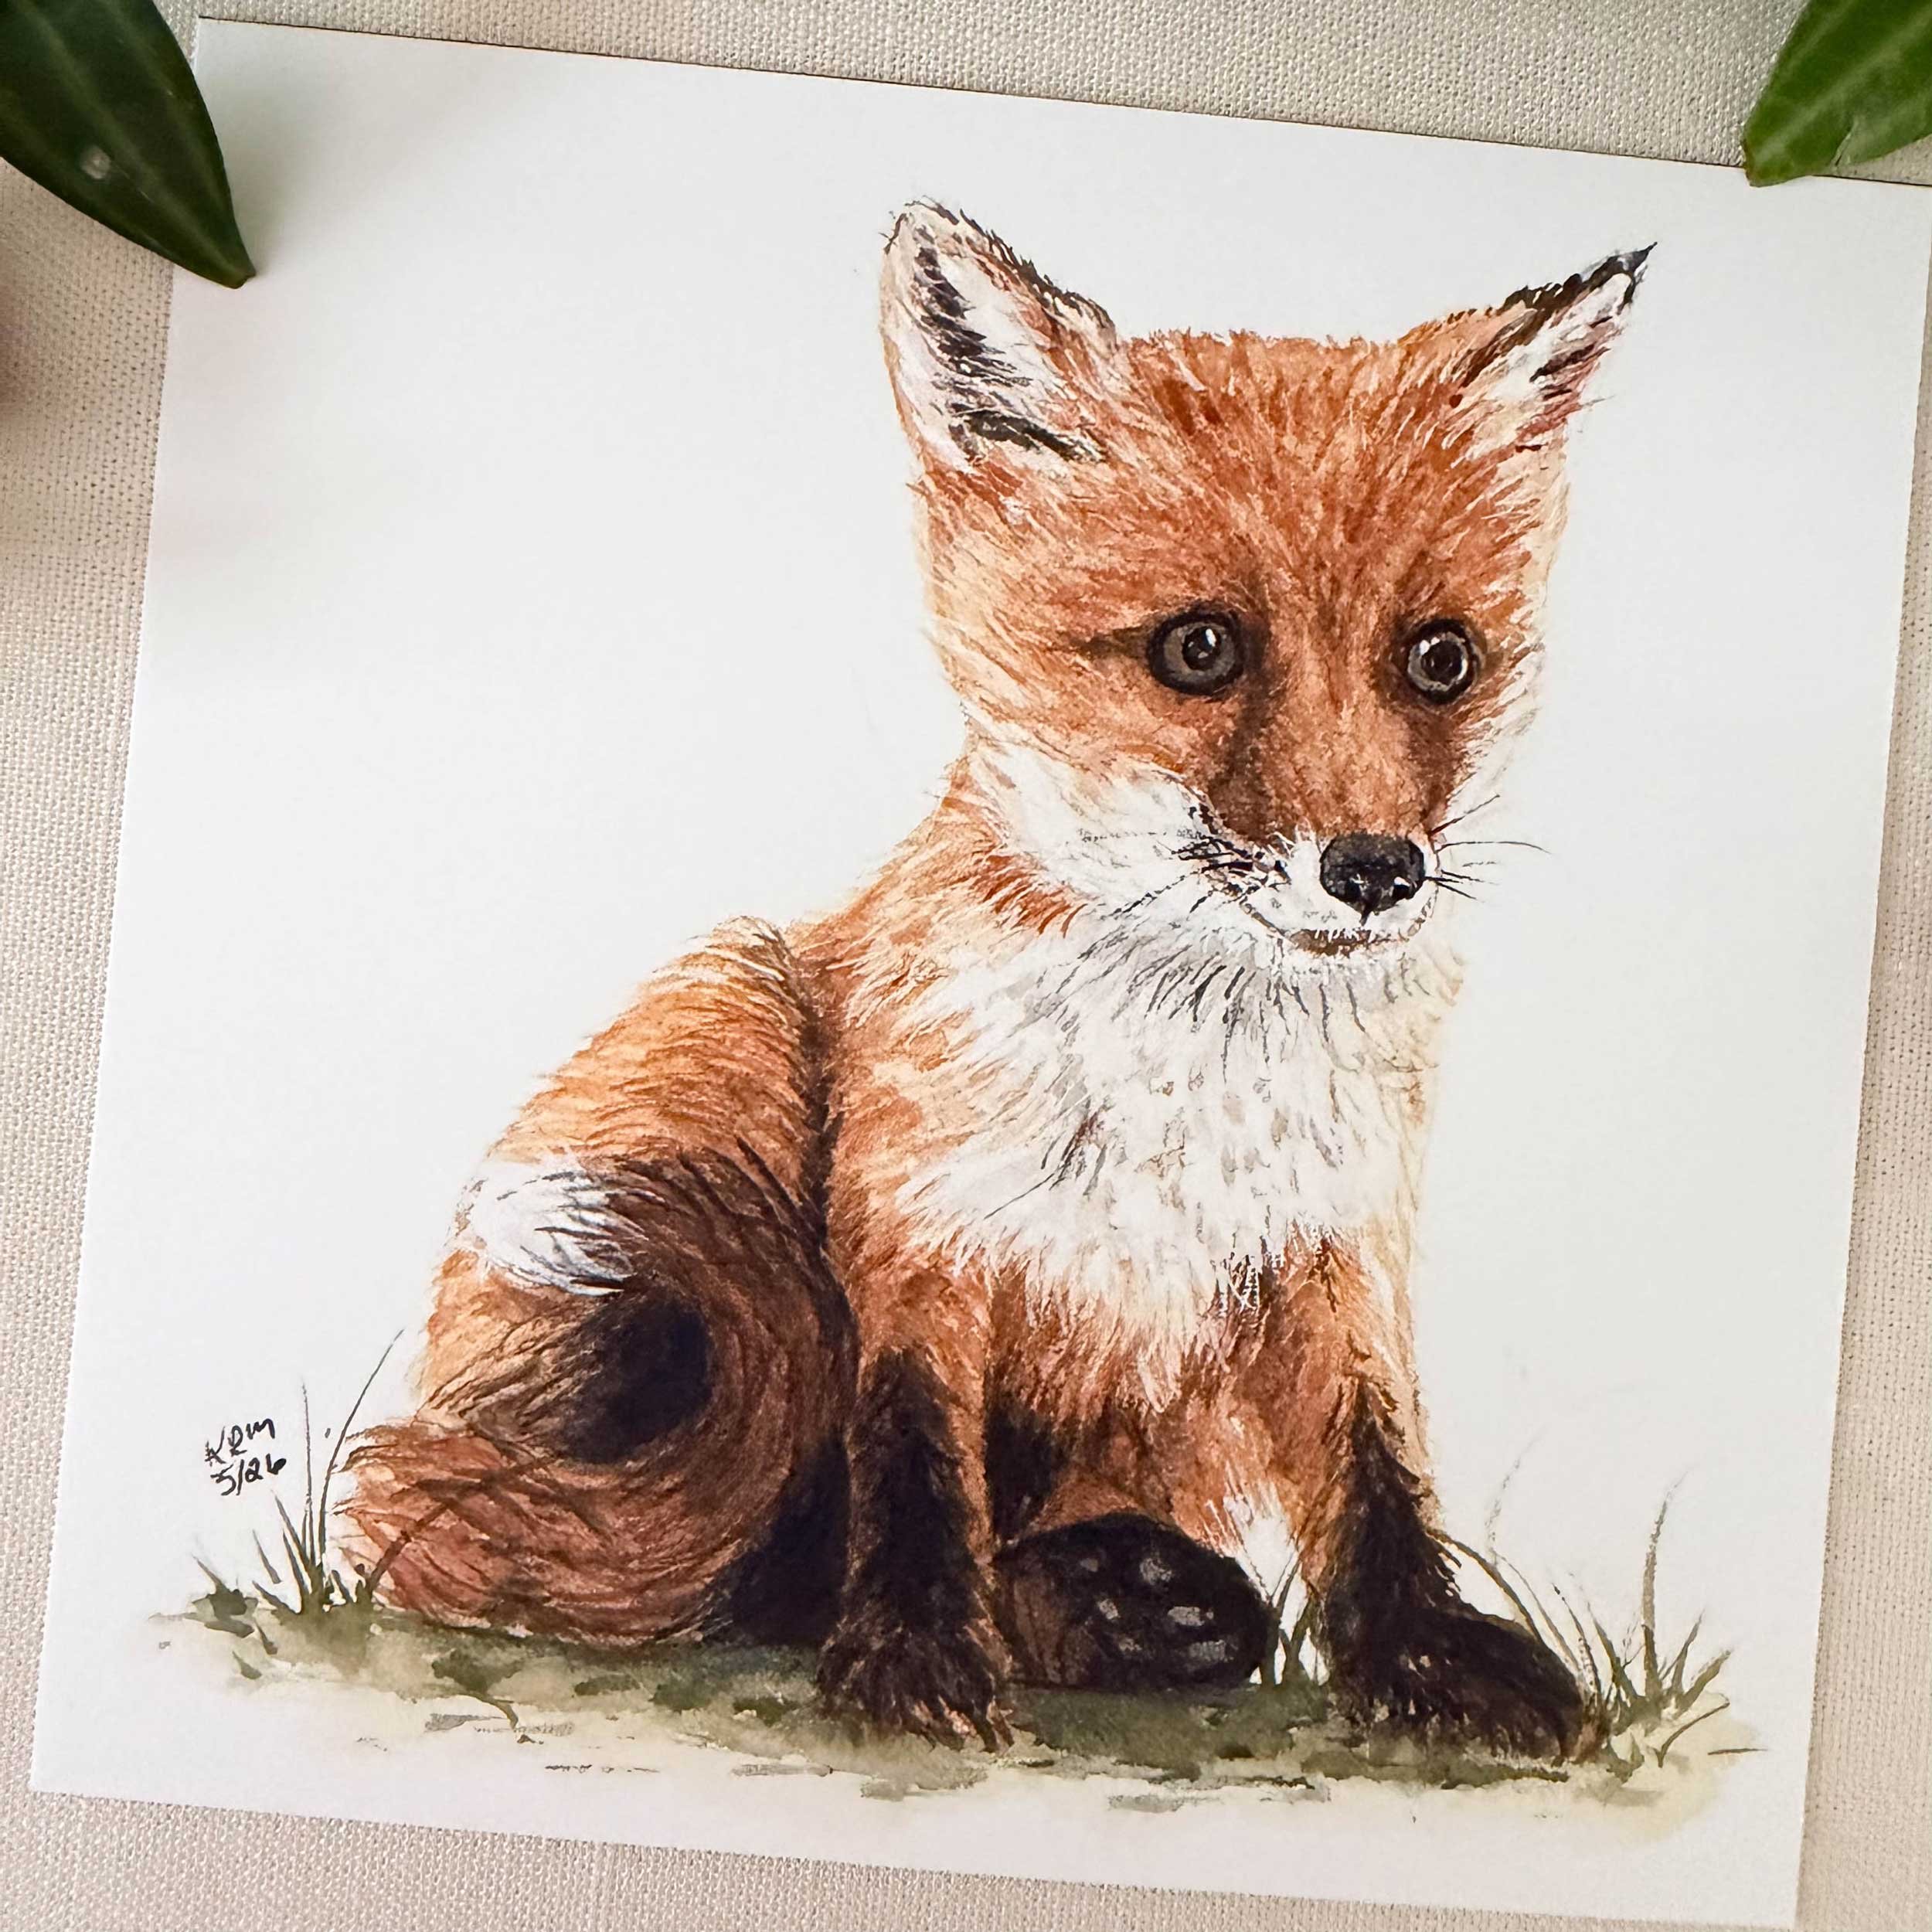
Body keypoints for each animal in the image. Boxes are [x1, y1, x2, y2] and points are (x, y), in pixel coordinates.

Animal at [344, 202, 1647, 1758]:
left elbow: (1376, 1478)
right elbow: (914, 1466)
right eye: (1198, 649)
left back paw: (1121, 1604)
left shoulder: (1334, 1252)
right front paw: (913, 1655)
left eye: (1441, 661)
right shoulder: (920, 1224)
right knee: (657, 1554)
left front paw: (1425, 1657)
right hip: (722, 1027)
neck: (1182, 1088)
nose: (1377, 870)